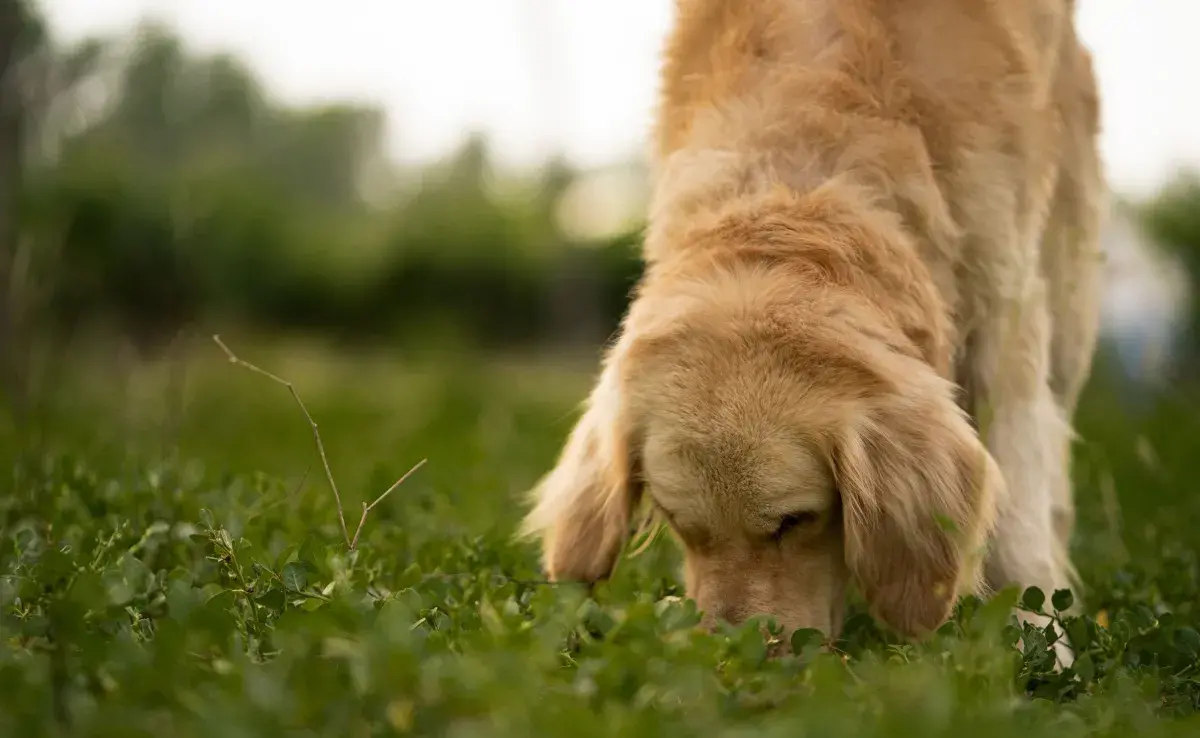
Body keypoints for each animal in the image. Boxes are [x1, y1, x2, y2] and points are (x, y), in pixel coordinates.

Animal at [520, 0, 1099, 662]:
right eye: (679, 522)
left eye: (795, 520)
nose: (732, 658)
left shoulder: (1004, 307)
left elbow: (1019, 509)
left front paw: (1039, 644)